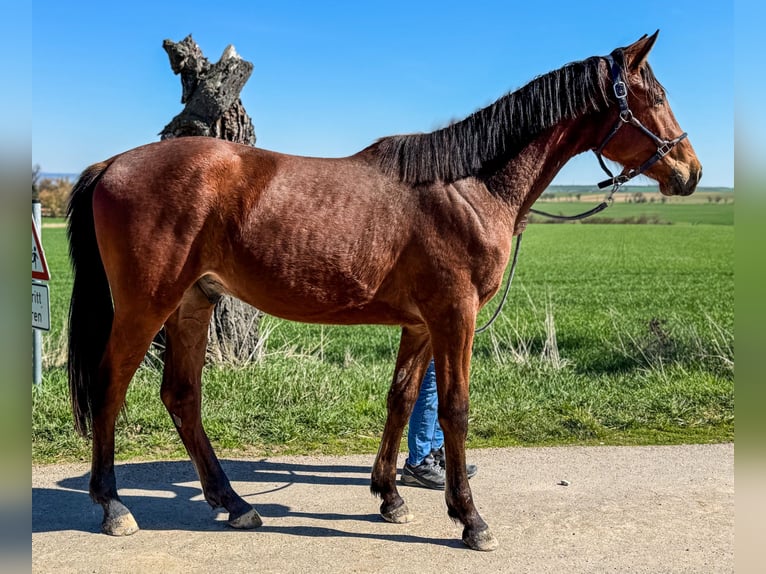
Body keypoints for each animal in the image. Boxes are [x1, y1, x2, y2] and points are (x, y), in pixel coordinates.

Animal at [67, 31, 700, 551]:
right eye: (653, 95)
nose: (690, 171)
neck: (466, 187)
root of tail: (111, 164)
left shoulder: (420, 323)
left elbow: (401, 400)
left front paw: (390, 497)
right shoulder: (454, 316)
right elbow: (453, 409)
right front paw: (470, 519)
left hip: (194, 303)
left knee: (182, 396)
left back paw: (235, 503)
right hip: (146, 306)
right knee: (110, 386)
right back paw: (114, 505)